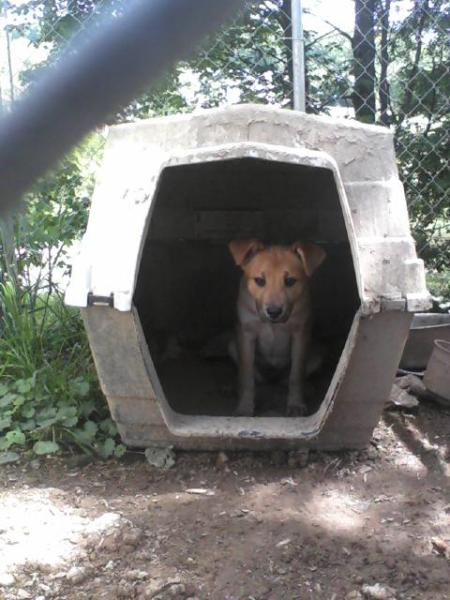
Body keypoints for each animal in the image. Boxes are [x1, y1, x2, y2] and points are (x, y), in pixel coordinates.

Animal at [230, 239, 326, 418]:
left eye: (290, 281)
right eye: (259, 280)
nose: (274, 312)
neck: (272, 324)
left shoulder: (300, 335)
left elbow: (296, 375)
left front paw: (296, 404)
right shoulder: (246, 334)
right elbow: (246, 376)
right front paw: (244, 407)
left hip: (317, 353)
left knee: (288, 379)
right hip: (232, 346)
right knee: (256, 378)